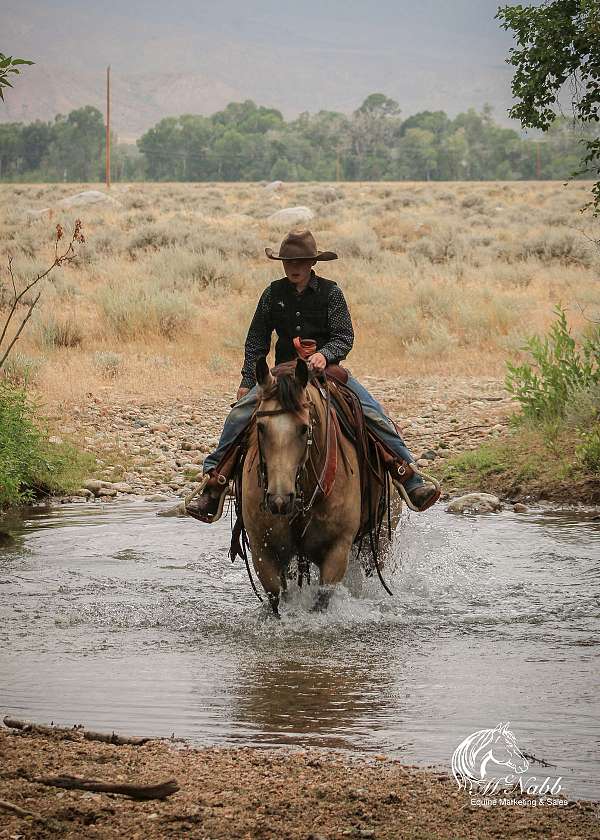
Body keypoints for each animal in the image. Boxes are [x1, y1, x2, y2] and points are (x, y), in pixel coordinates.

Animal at [232, 358, 386, 612]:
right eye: (260, 426)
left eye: (304, 428)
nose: (279, 500)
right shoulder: (264, 550)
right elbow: (276, 599)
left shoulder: (337, 550)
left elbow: (322, 600)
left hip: (379, 539)